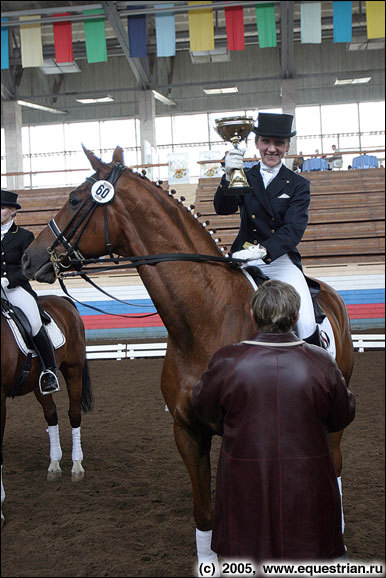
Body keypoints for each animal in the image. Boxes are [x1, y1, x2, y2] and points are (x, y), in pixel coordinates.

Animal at [0, 294, 92, 524]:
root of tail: (60, 298)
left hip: (73, 369)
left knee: (73, 414)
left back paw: (76, 466)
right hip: (38, 384)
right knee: (52, 415)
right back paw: (54, 464)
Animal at [21, 147, 352, 564]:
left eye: (75, 200)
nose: (27, 258)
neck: (207, 318)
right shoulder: (187, 432)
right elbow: (204, 512)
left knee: (334, 462)